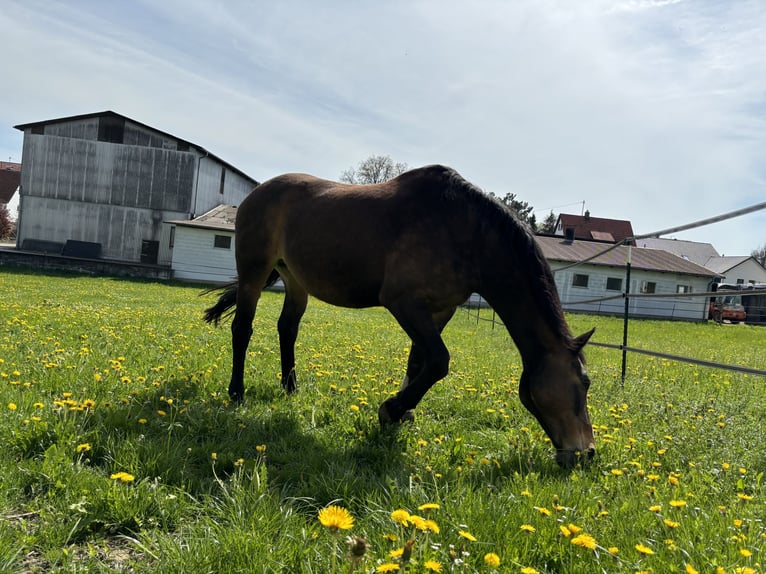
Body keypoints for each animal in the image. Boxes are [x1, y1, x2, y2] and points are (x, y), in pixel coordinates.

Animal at [206, 165, 600, 468]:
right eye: (583, 384)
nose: (587, 453)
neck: (465, 231)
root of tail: (258, 192)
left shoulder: (439, 310)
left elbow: (420, 362)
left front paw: (402, 414)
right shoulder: (404, 303)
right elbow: (439, 360)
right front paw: (392, 409)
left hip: (295, 279)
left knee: (287, 328)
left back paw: (291, 387)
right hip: (254, 271)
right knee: (242, 329)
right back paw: (237, 393)